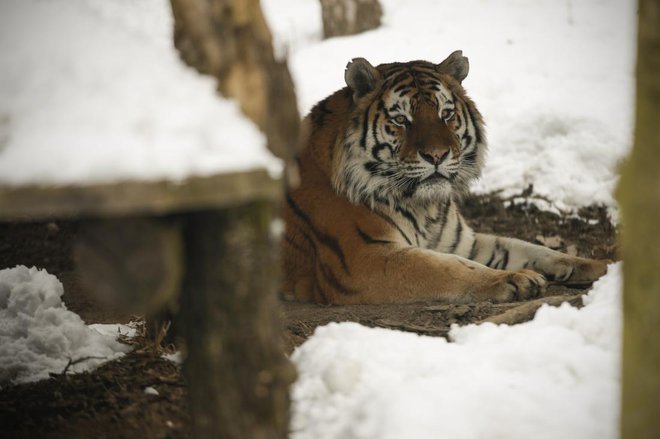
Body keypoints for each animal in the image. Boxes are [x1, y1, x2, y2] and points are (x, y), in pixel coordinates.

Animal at [282, 49, 608, 304]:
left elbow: (528, 247)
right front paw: (513, 279)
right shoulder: (363, 257)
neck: (425, 207)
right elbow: (449, 269)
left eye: (446, 114)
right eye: (401, 119)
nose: (437, 155)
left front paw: (597, 265)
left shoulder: (462, 242)